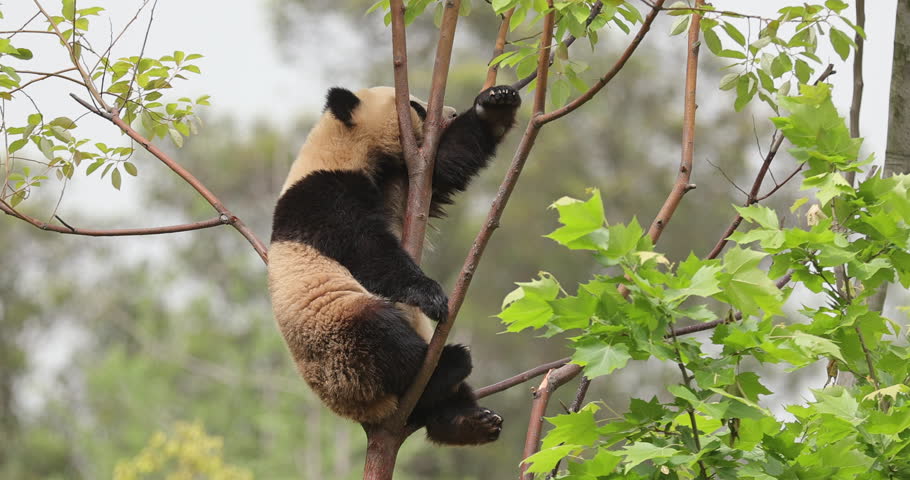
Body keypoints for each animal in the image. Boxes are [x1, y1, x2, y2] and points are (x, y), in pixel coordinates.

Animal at [268, 84, 520, 445]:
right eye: (416, 106)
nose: (450, 113)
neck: (340, 146)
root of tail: (363, 412)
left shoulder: (401, 179)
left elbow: (445, 167)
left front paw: (496, 103)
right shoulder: (325, 197)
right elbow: (370, 251)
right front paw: (431, 295)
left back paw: (467, 422)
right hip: (337, 339)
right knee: (382, 336)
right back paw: (448, 365)